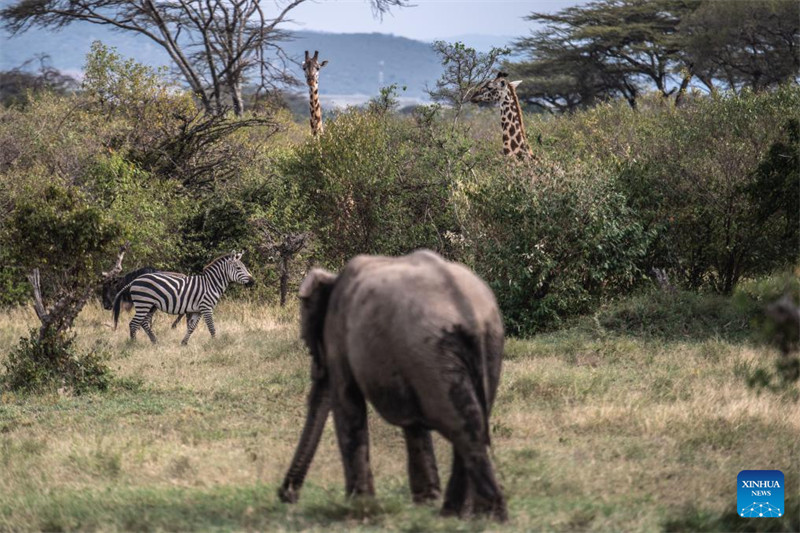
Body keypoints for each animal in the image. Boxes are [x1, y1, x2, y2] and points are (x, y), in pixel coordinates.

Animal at [113, 250, 253, 342]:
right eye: (239, 268)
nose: (253, 282)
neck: (210, 284)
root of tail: (135, 280)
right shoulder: (206, 307)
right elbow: (211, 327)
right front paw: (215, 343)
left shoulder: (197, 310)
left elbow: (191, 327)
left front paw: (184, 343)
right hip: (144, 303)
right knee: (133, 323)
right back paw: (134, 344)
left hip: (150, 305)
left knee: (143, 322)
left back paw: (154, 341)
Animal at [280, 249, 506, 520]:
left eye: (307, 338)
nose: (286, 495)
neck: (332, 278)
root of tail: (467, 310)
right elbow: (413, 423)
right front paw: (424, 502)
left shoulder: (338, 335)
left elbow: (347, 403)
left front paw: (360, 509)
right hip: (480, 347)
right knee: (473, 421)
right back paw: (457, 515)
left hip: (433, 351)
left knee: (462, 425)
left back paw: (481, 517)